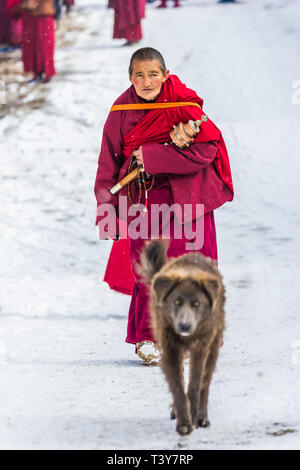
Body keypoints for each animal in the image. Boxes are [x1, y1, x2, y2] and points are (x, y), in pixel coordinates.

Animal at [140, 242, 225, 436]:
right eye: (176, 301)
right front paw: (184, 422)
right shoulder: (170, 350)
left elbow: (195, 385)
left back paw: (202, 418)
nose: (184, 326)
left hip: (213, 347)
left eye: (197, 304)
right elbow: (178, 386)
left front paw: (192, 417)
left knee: (205, 383)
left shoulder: (201, 348)